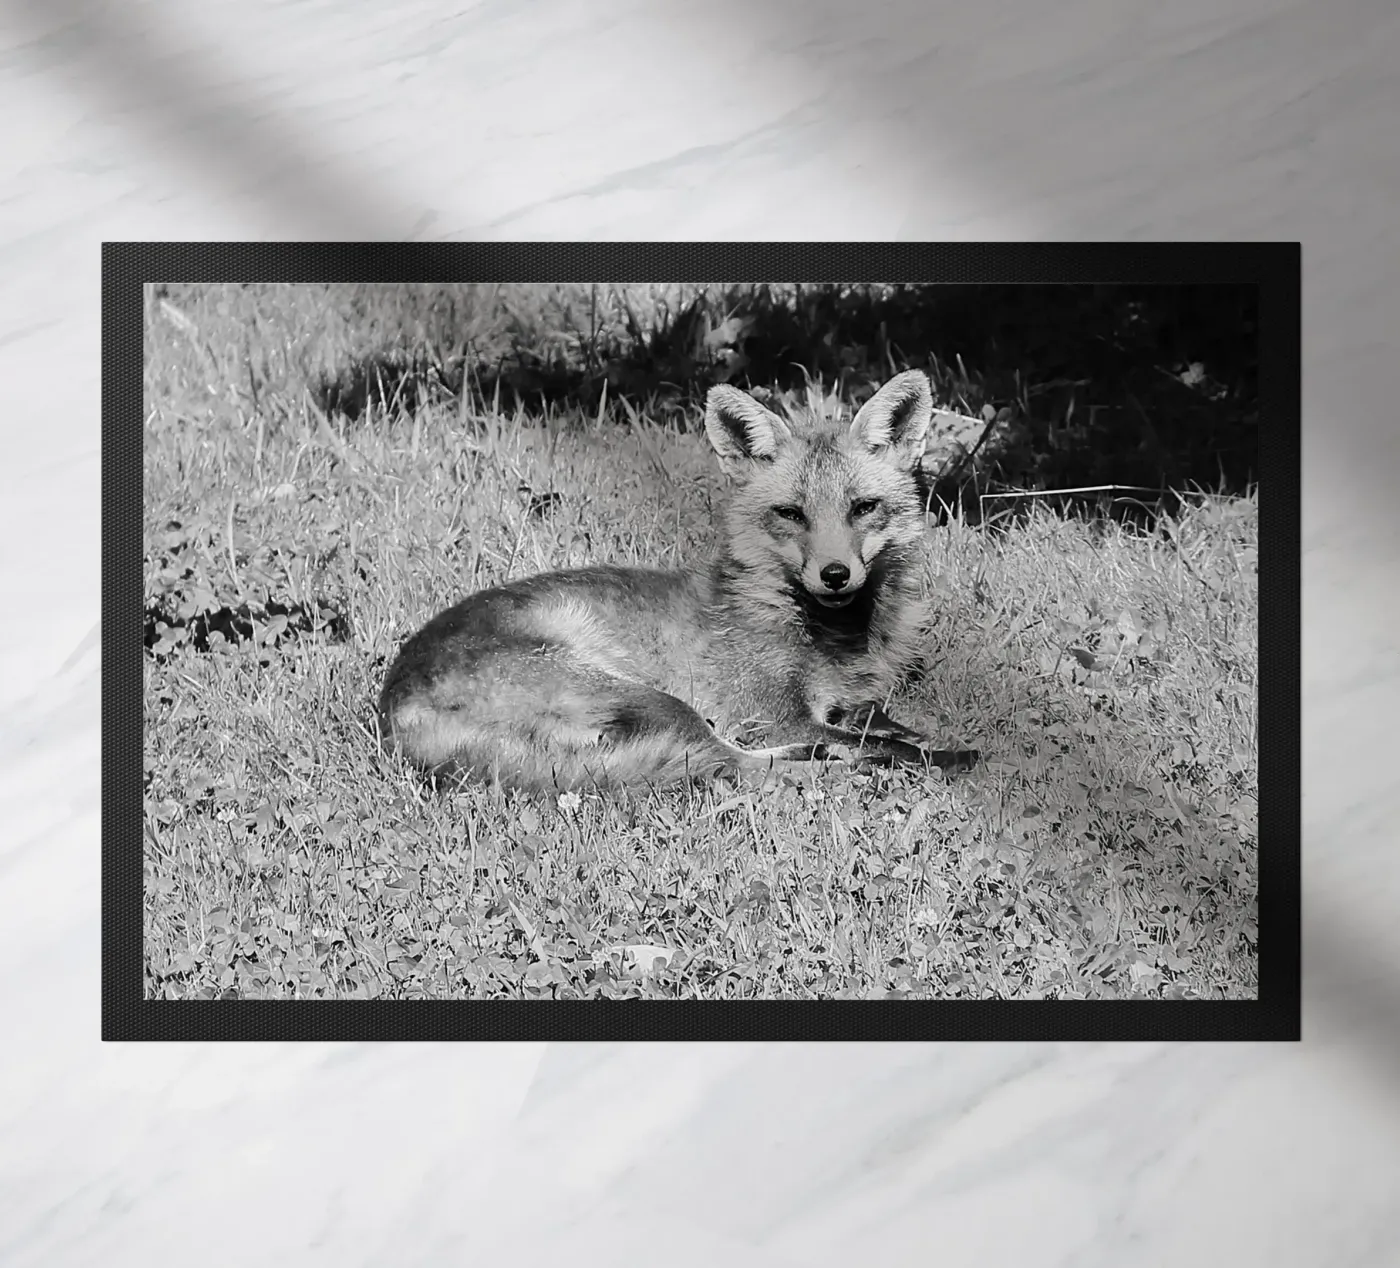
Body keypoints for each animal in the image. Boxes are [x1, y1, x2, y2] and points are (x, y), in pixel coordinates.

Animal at [377, 369, 980, 792]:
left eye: (863, 508)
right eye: (792, 514)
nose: (835, 575)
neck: (832, 638)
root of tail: (392, 711)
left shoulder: (840, 704)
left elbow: (875, 723)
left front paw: (902, 733)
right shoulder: (768, 713)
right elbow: (882, 745)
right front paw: (945, 756)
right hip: (655, 699)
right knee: (730, 762)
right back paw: (843, 770)